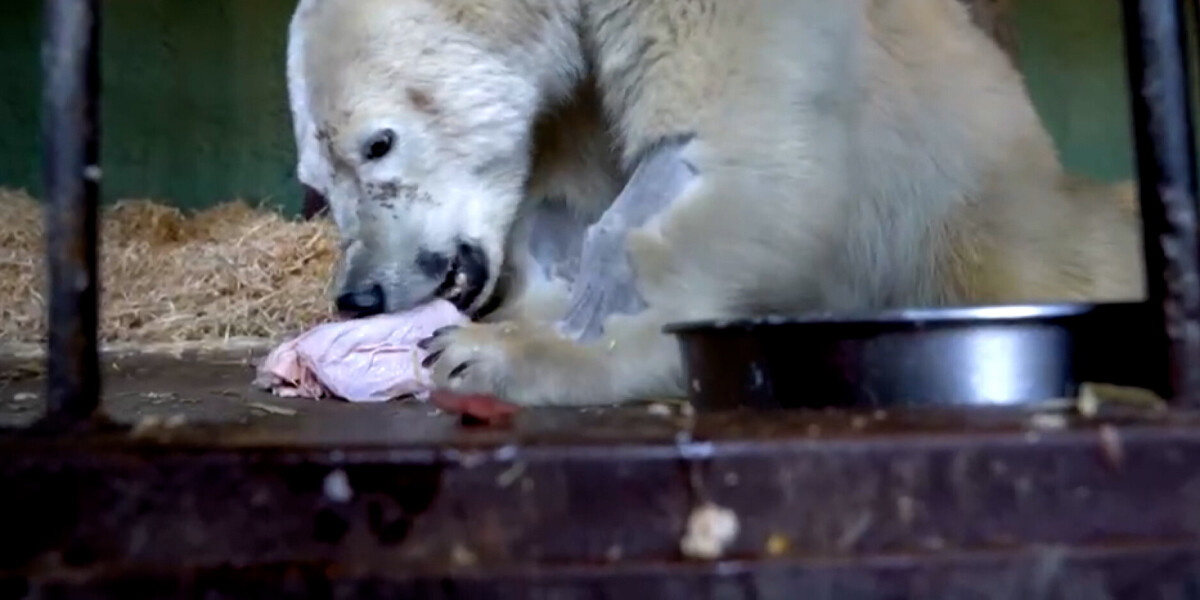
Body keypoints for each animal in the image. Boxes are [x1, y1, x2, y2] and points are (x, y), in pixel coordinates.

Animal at [285, 0, 1147, 408]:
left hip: (973, 219)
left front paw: (503, 354)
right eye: (317, 176)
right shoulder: (574, 91)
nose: (360, 294)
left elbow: (727, 155)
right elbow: (564, 197)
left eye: (378, 143)